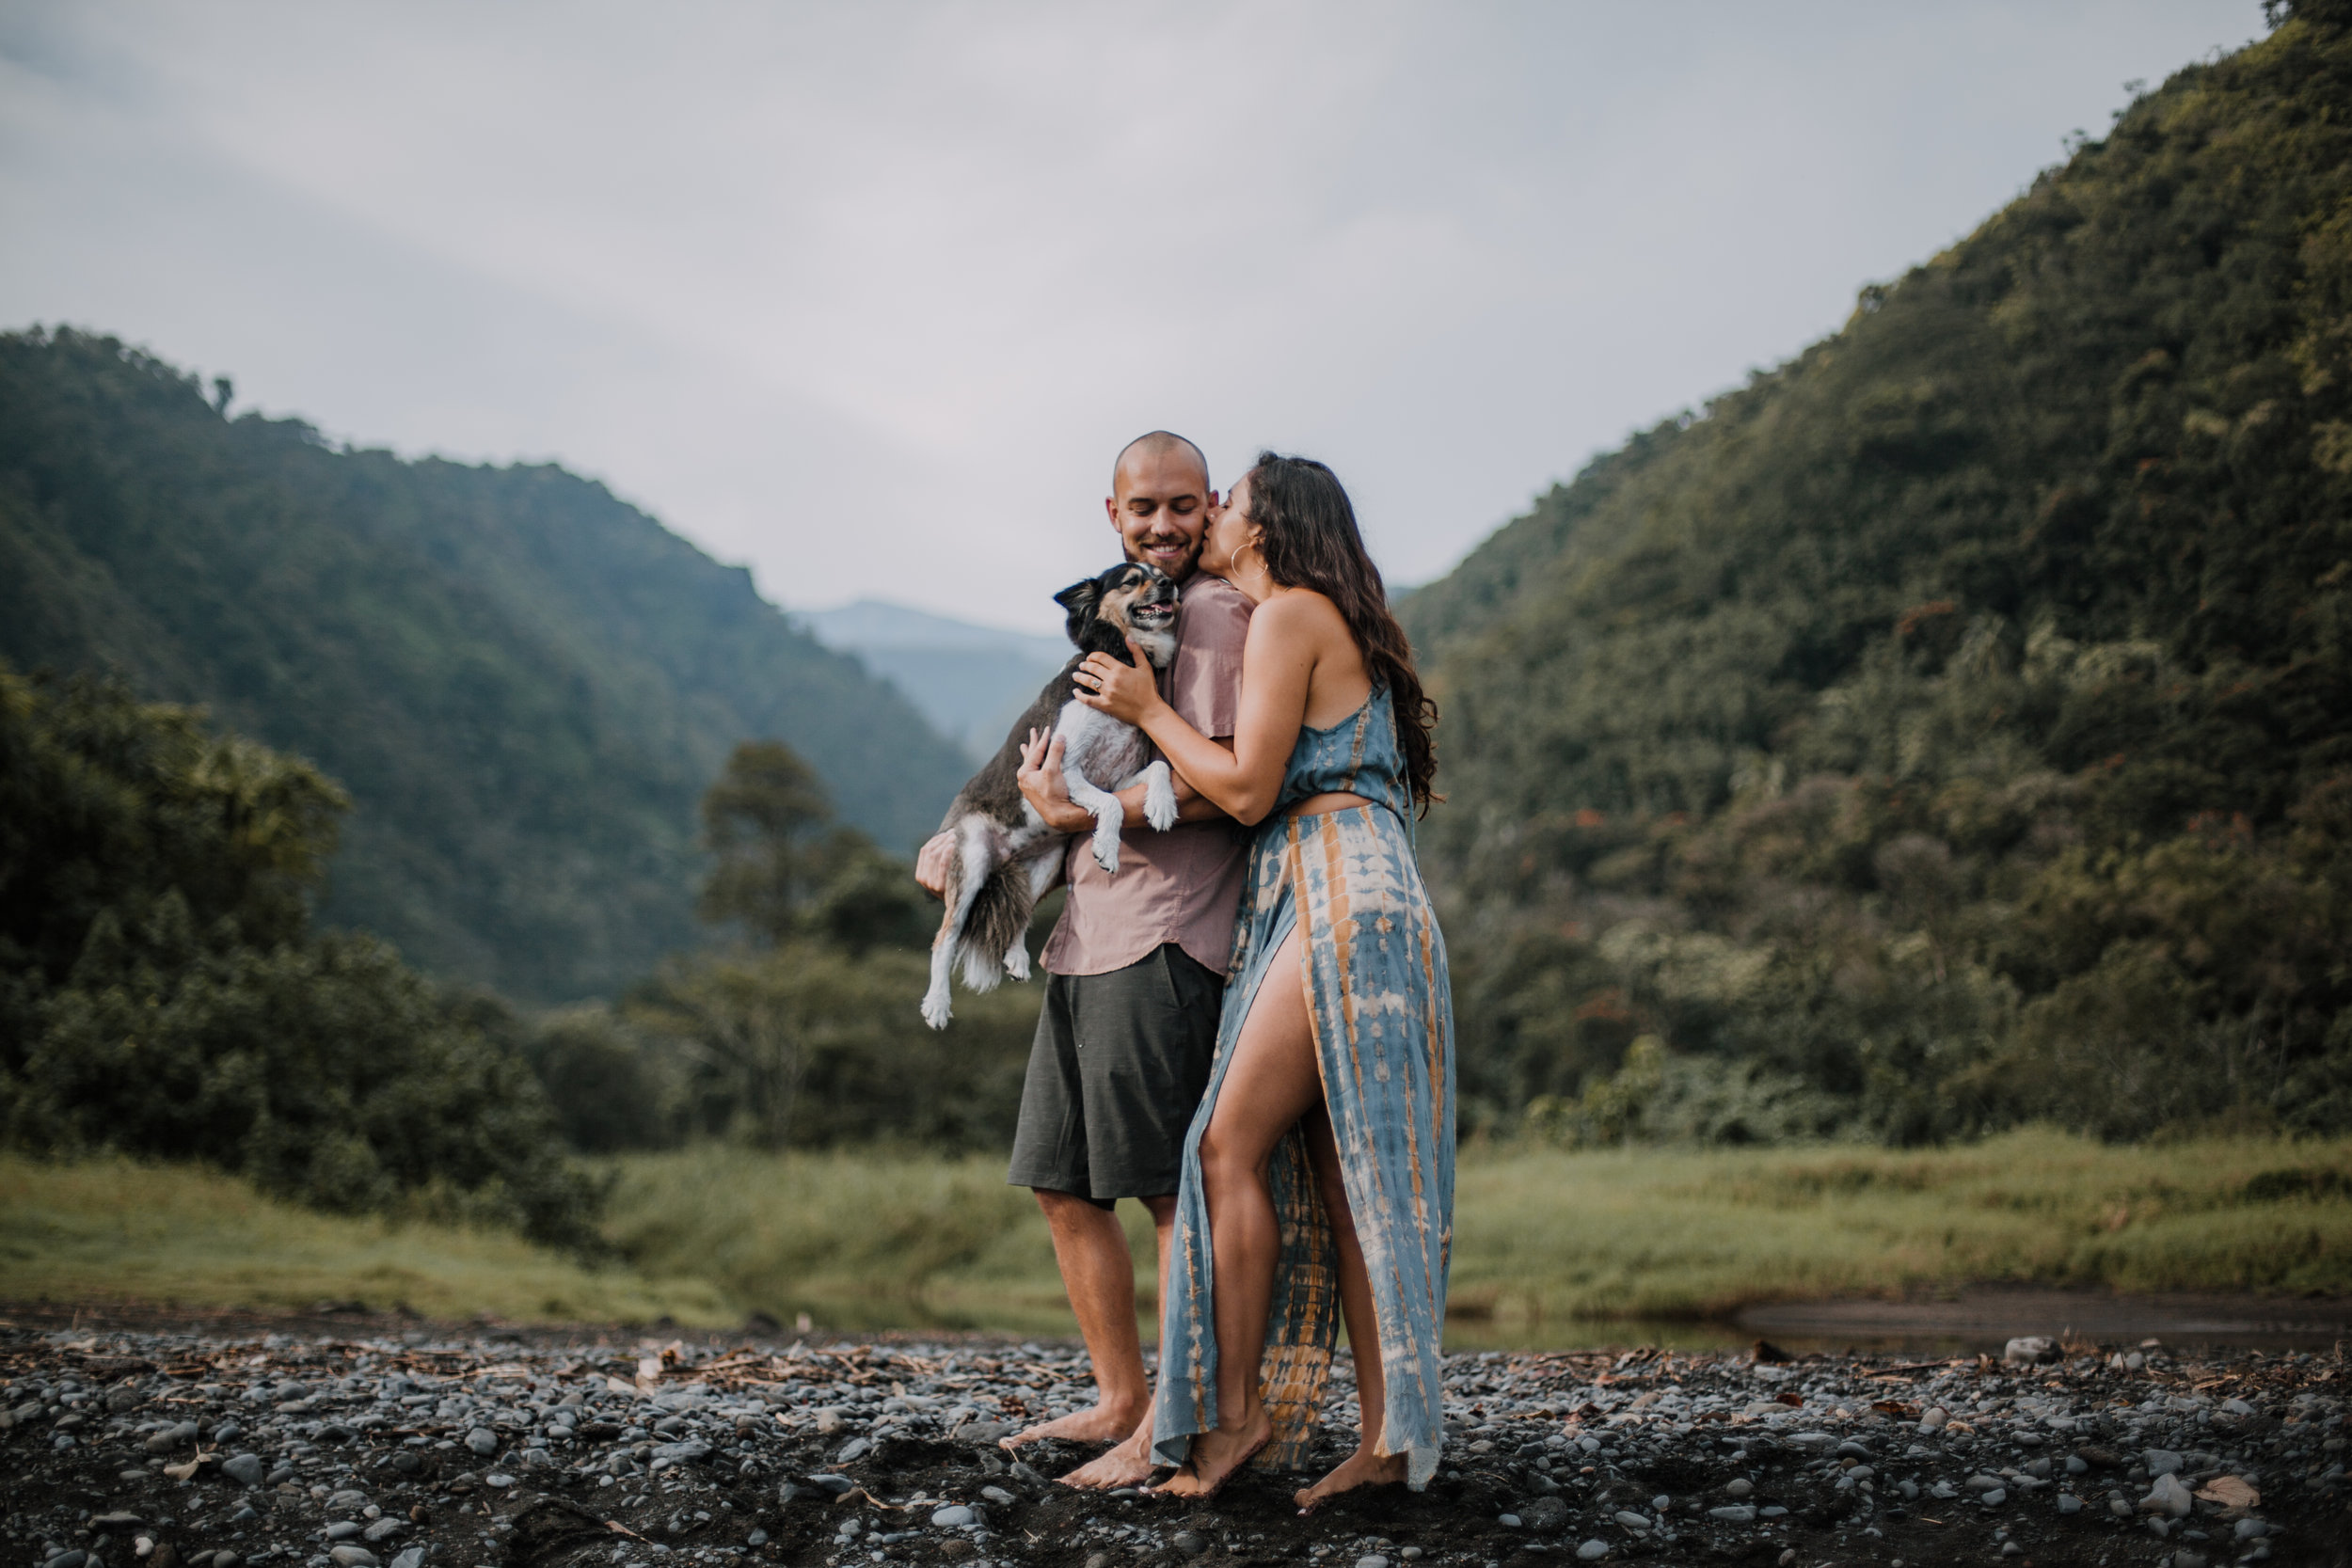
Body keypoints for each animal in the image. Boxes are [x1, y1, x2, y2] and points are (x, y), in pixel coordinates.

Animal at [913, 562, 1176, 1029]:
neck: (1119, 656)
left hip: (1046, 863)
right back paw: (938, 1004)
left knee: (1022, 913)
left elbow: (1159, 768)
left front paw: (1161, 805)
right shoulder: (1065, 769)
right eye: (1132, 580)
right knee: (944, 938)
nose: (1170, 583)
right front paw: (1108, 849)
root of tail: (1005, 857)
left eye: (1159, 572)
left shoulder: (1119, 776)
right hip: (972, 861)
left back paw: (1017, 957)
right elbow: (1109, 806)